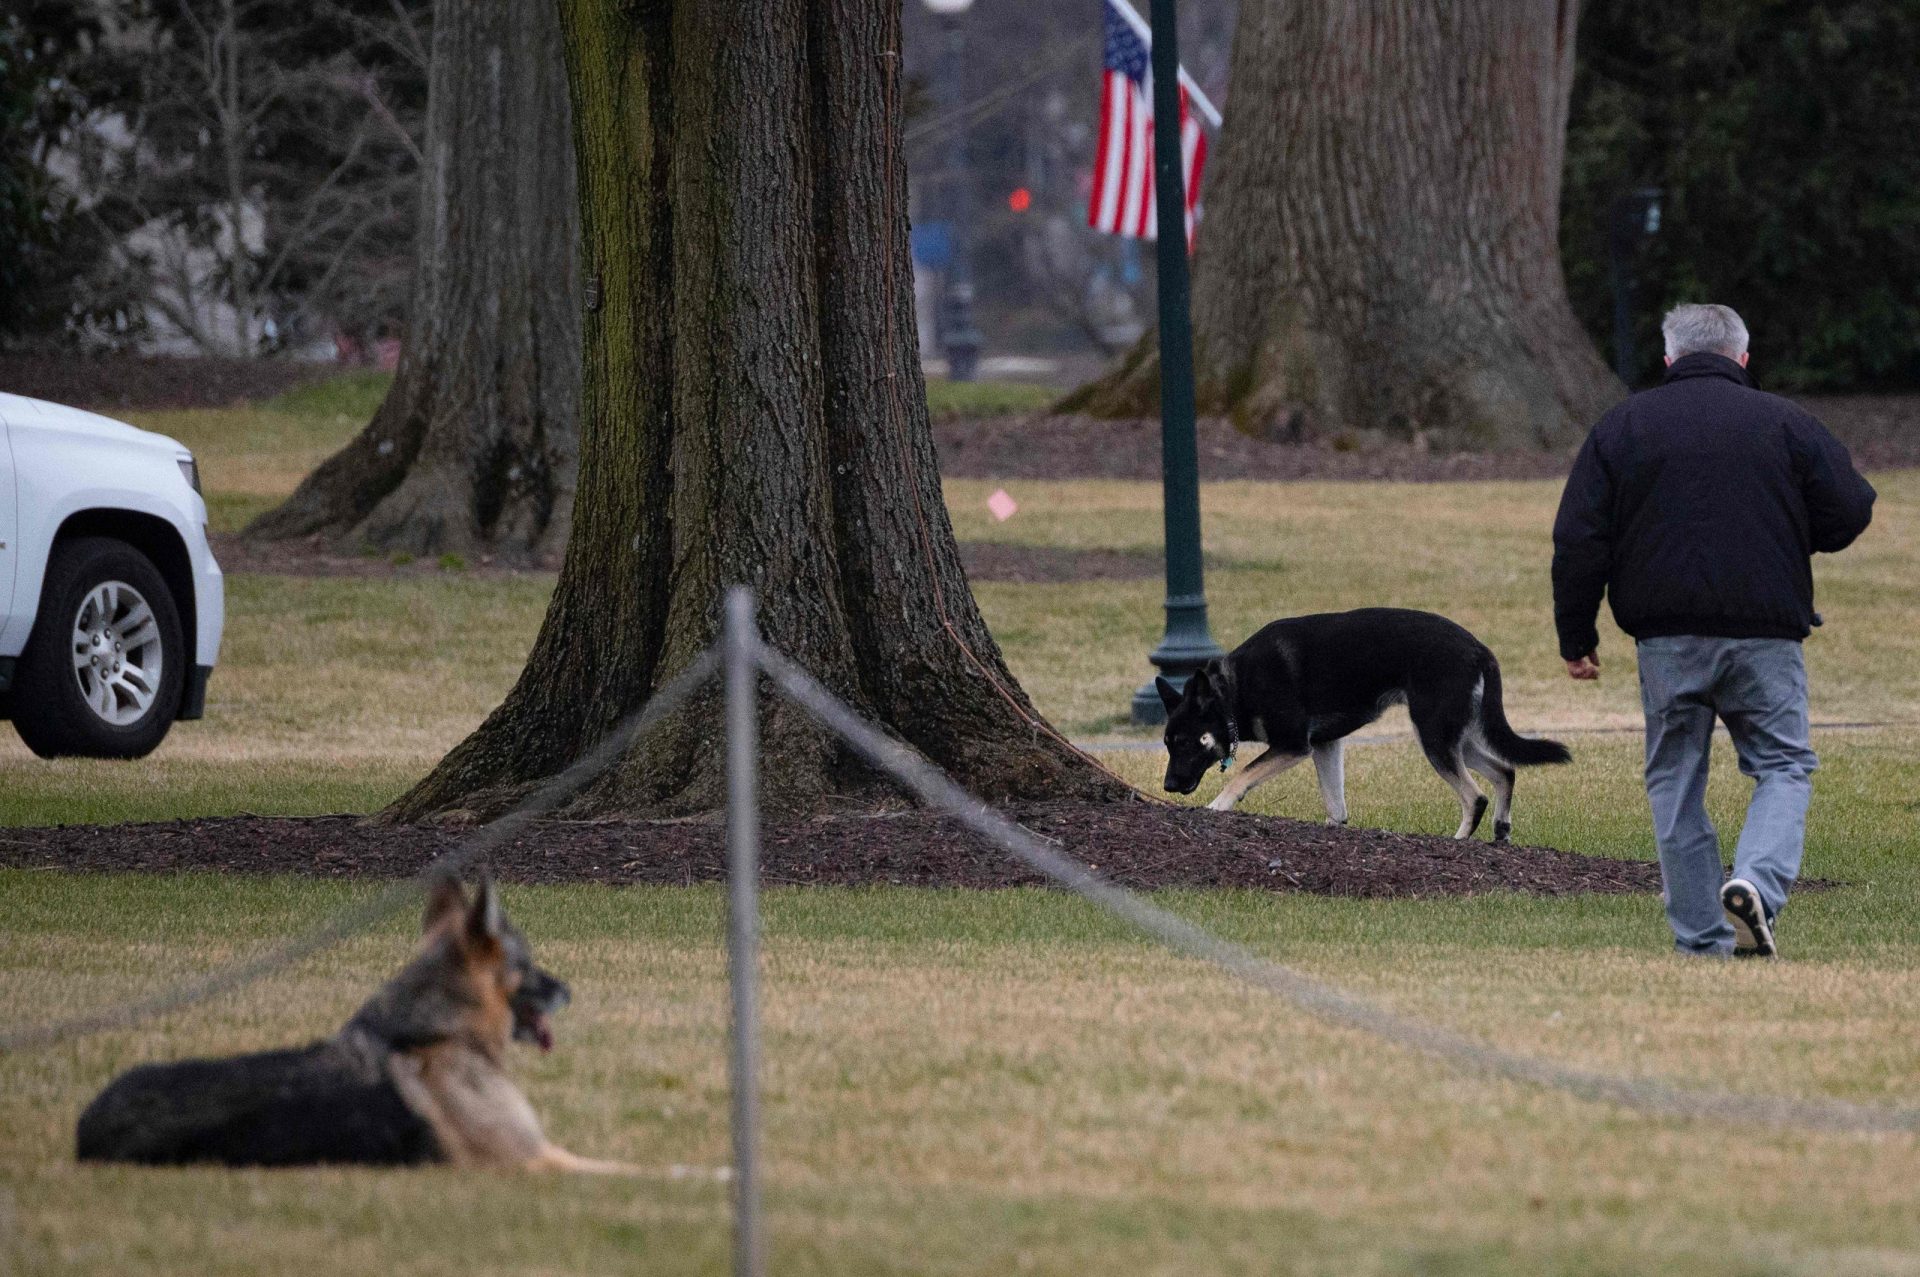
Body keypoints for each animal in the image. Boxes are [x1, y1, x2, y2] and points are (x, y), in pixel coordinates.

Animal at [1159, 606, 1566, 837]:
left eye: (1184, 742)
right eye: (1166, 743)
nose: (1167, 786)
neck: (1232, 690)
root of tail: (1480, 649)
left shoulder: (1293, 745)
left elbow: (1243, 775)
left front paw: (1217, 806)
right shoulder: (1325, 745)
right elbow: (1334, 802)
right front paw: (1335, 828)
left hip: (1433, 735)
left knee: (1475, 795)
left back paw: (1460, 839)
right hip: (1454, 736)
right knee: (1505, 771)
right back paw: (1501, 830)